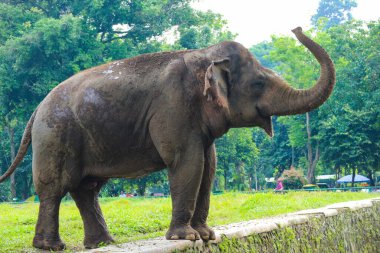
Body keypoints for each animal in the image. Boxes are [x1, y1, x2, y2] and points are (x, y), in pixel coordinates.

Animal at [0, 26, 334, 250]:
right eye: (259, 83)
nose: (297, 28)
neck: (203, 54)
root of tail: (36, 109)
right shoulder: (173, 107)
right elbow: (188, 163)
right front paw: (187, 238)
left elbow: (208, 167)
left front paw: (207, 235)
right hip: (55, 135)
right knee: (55, 188)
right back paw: (52, 246)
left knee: (87, 189)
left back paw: (103, 244)